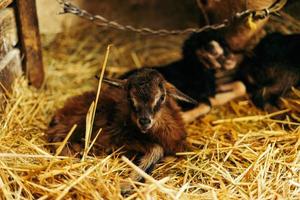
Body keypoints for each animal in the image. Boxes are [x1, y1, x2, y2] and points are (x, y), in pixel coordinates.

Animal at [47, 69, 197, 188]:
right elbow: (157, 149)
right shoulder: (116, 138)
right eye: (130, 98)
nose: (144, 121)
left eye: (162, 97)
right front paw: (127, 185)